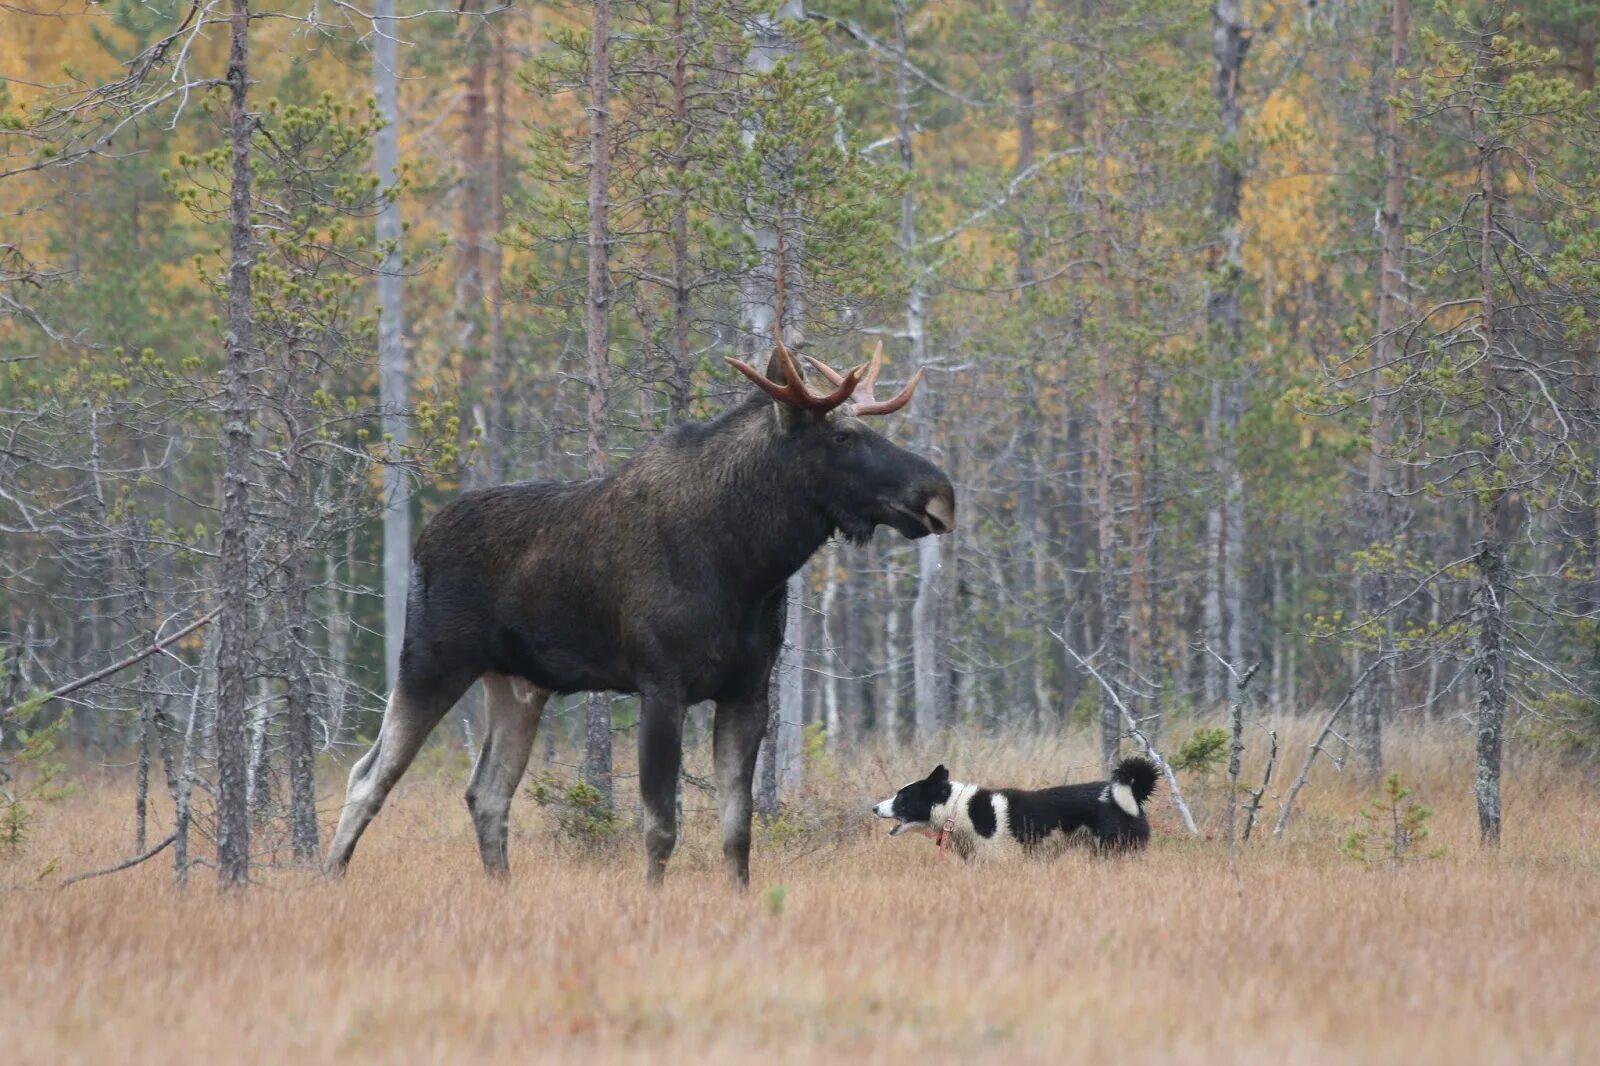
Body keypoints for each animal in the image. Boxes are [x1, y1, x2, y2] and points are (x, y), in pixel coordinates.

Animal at [323, 337, 947, 877]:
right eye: (840, 438)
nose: (940, 492)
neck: (747, 563)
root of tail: (422, 541)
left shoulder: (747, 690)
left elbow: (737, 830)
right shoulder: (661, 685)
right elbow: (661, 828)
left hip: (519, 684)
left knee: (487, 793)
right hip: (431, 660)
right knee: (366, 776)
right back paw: (331, 877)